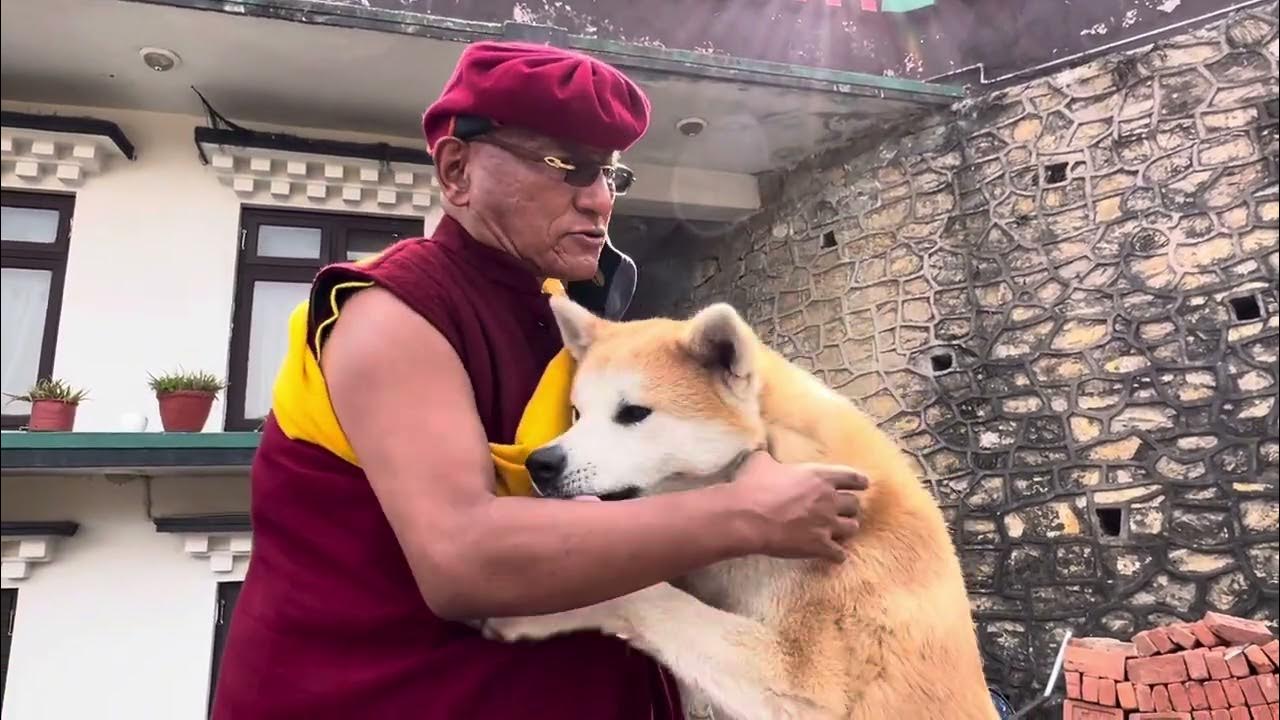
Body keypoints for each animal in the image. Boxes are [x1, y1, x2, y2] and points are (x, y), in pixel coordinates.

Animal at [481, 294, 998, 717]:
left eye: (632, 413)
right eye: (576, 413)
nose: (541, 464)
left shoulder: (810, 688)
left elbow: (645, 596)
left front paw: (529, 614)